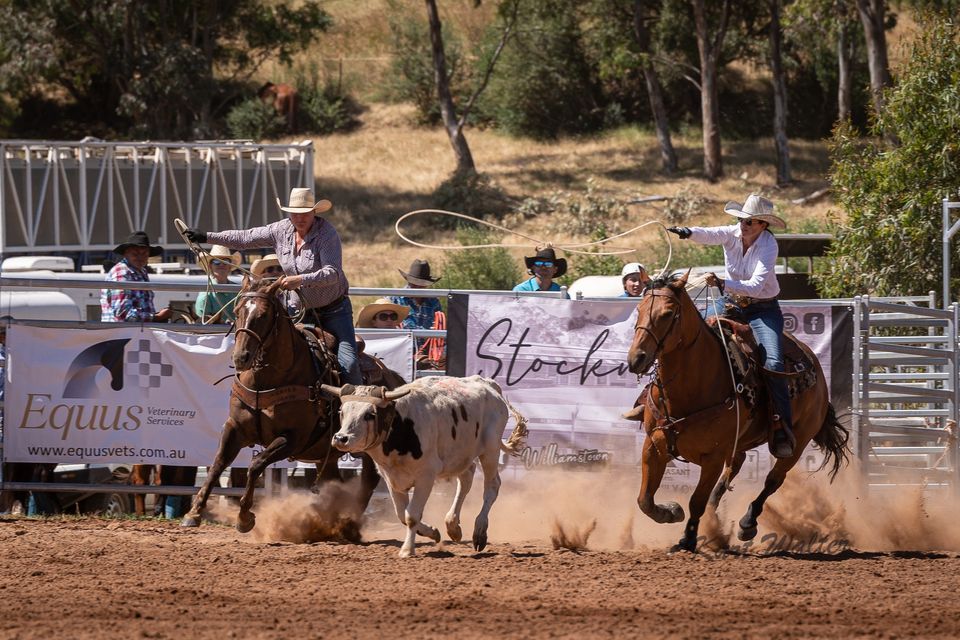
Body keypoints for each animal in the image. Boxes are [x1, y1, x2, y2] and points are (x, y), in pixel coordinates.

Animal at [179, 278, 398, 532]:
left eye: (263, 315)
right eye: (237, 311)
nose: (240, 358)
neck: (268, 380)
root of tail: (391, 377)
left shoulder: (293, 439)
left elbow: (255, 464)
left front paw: (245, 518)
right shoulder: (235, 427)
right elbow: (217, 464)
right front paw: (194, 512)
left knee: (370, 479)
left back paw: (349, 524)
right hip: (327, 452)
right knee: (333, 480)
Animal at [326, 376, 528, 556]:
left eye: (369, 414)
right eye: (341, 411)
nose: (341, 438)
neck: (402, 427)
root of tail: (489, 384)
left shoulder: (426, 476)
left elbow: (411, 515)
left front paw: (407, 550)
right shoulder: (391, 479)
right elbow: (402, 514)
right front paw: (432, 532)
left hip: (490, 450)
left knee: (492, 486)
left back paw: (479, 532)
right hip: (460, 456)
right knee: (466, 479)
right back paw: (453, 526)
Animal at [628, 272, 852, 552]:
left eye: (668, 313)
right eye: (639, 309)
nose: (636, 359)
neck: (690, 388)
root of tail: (817, 371)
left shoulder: (712, 457)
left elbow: (695, 501)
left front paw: (687, 540)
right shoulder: (653, 444)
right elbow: (644, 499)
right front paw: (671, 511)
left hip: (798, 442)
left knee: (772, 480)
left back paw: (747, 523)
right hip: (740, 441)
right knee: (734, 468)